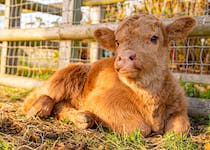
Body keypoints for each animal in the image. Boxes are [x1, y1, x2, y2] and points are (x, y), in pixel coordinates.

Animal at [23, 13, 196, 137]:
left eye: (154, 37)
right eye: (117, 42)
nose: (125, 56)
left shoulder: (180, 106)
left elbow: (180, 129)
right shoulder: (97, 101)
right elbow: (139, 127)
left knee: (60, 105)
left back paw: (83, 118)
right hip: (63, 77)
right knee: (34, 100)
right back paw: (40, 109)